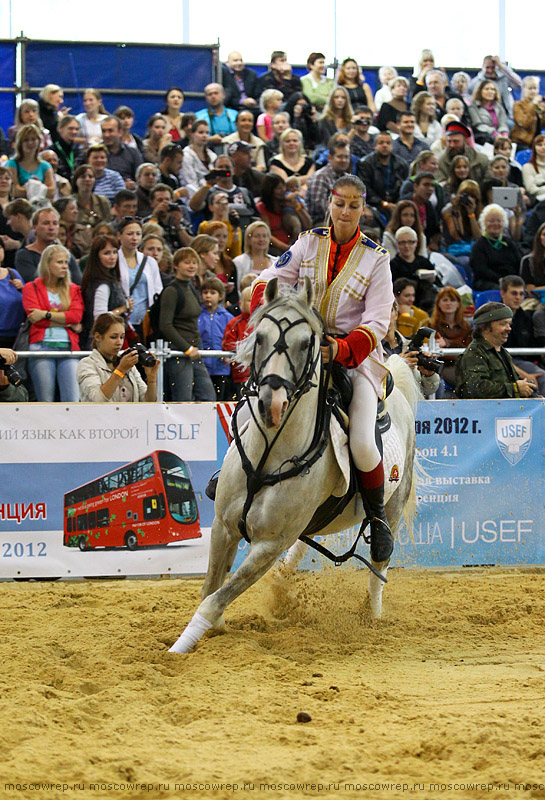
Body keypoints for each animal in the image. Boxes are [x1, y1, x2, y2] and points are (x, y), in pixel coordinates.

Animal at [169, 278, 416, 652]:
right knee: (302, 544)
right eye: (259, 337)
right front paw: (215, 629)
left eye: (306, 343)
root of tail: (397, 390)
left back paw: (373, 613)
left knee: (380, 560)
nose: (272, 404)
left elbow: (216, 598)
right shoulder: (224, 528)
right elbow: (210, 588)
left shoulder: (269, 545)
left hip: (395, 504)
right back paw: (283, 584)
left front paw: (178, 648)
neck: (268, 456)